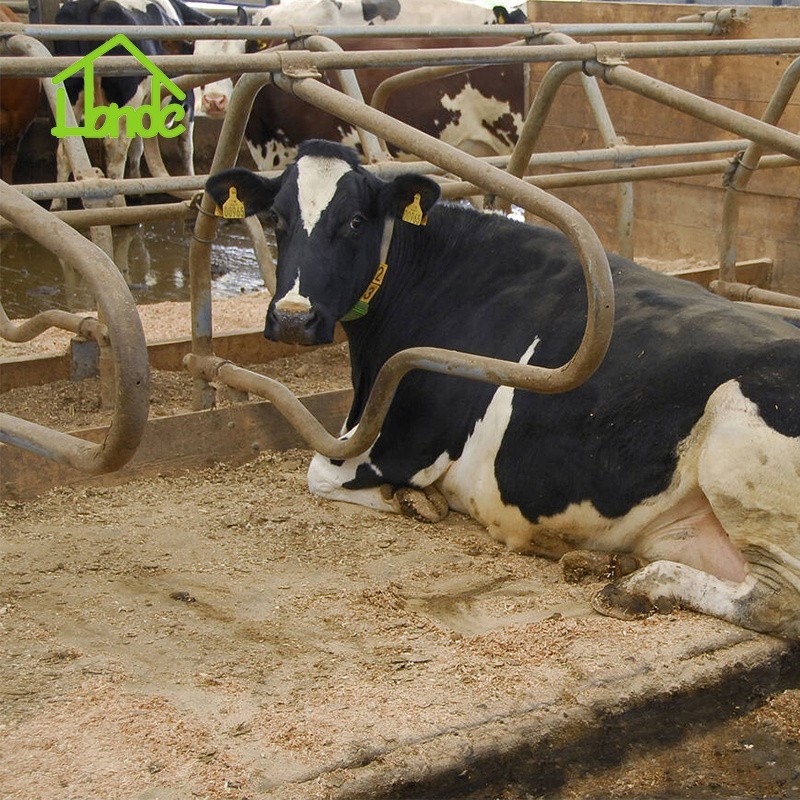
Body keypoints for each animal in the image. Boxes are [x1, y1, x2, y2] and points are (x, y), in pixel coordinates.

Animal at [50, 0, 212, 209]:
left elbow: (138, 146)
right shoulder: (188, 102)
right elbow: (186, 147)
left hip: (71, 94)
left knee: (64, 151)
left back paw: (58, 204)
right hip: (126, 99)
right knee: (116, 152)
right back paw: (120, 204)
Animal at [204, 140, 800, 640]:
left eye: (354, 221)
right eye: (277, 219)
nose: (292, 317)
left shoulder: (406, 441)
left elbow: (319, 474)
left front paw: (414, 501)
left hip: (738, 448)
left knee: (776, 602)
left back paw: (637, 587)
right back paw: (608, 565)